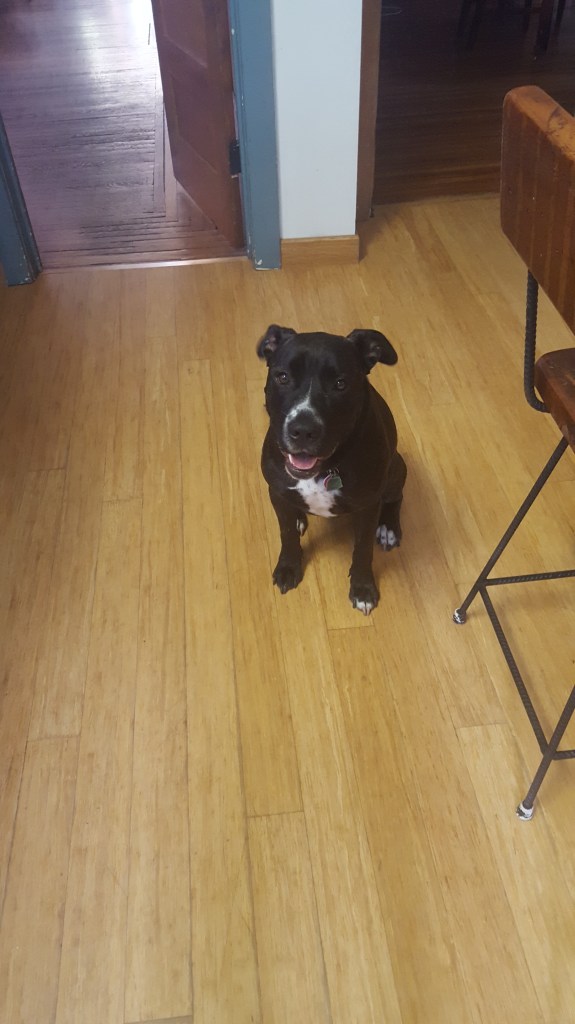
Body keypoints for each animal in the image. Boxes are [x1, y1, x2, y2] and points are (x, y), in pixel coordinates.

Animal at [257, 324, 406, 614]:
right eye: (282, 377)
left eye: (340, 384)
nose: (303, 430)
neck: (323, 470)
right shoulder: (276, 491)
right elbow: (287, 533)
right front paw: (288, 567)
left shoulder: (368, 506)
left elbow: (363, 550)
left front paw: (362, 588)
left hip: (396, 468)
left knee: (396, 498)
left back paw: (388, 528)